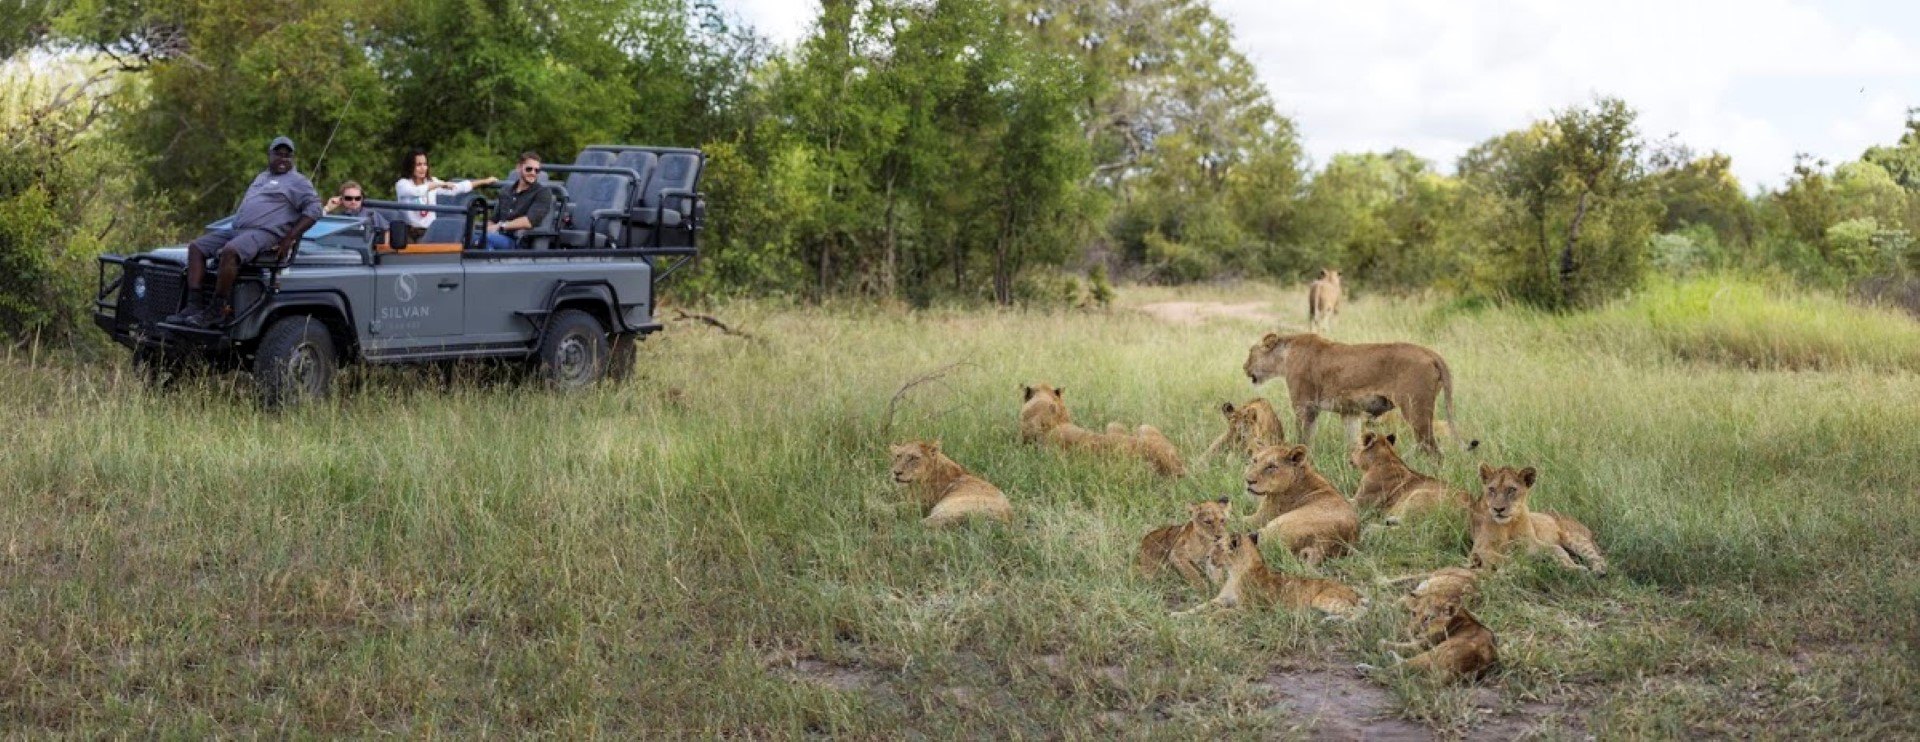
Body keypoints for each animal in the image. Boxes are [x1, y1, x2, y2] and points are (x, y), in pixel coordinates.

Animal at [883, 440, 1013, 526]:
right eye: (898, 456)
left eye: (914, 458)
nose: (896, 472)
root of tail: (1005, 518)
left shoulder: (919, 505)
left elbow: (892, 506)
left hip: (947, 508)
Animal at [1167, 530, 1367, 618]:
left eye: (1218, 547)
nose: (1208, 557)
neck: (1234, 572)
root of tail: (1353, 592)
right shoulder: (1221, 599)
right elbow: (1202, 606)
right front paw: (1177, 614)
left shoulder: (1249, 609)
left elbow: (1219, 612)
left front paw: (1205, 620)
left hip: (1322, 599)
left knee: (1359, 612)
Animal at [1236, 332, 1474, 457]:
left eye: (1250, 352)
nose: (1244, 367)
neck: (1284, 358)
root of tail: (1431, 353)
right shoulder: (1350, 412)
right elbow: (1352, 442)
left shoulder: (1304, 406)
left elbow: (1304, 439)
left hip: (1415, 409)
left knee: (1433, 450)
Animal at [1466, 463, 1605, 572]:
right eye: (1492, 489)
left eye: (1511, 490)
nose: (1498, 509)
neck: (1508, 525)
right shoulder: (1479, 548)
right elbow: (1503, 558)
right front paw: (1524, 566)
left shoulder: (1531, 542)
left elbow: (1556, 549)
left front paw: (1573, 567)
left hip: (1575, 538)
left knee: (1598, 557)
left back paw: (1598, 570)